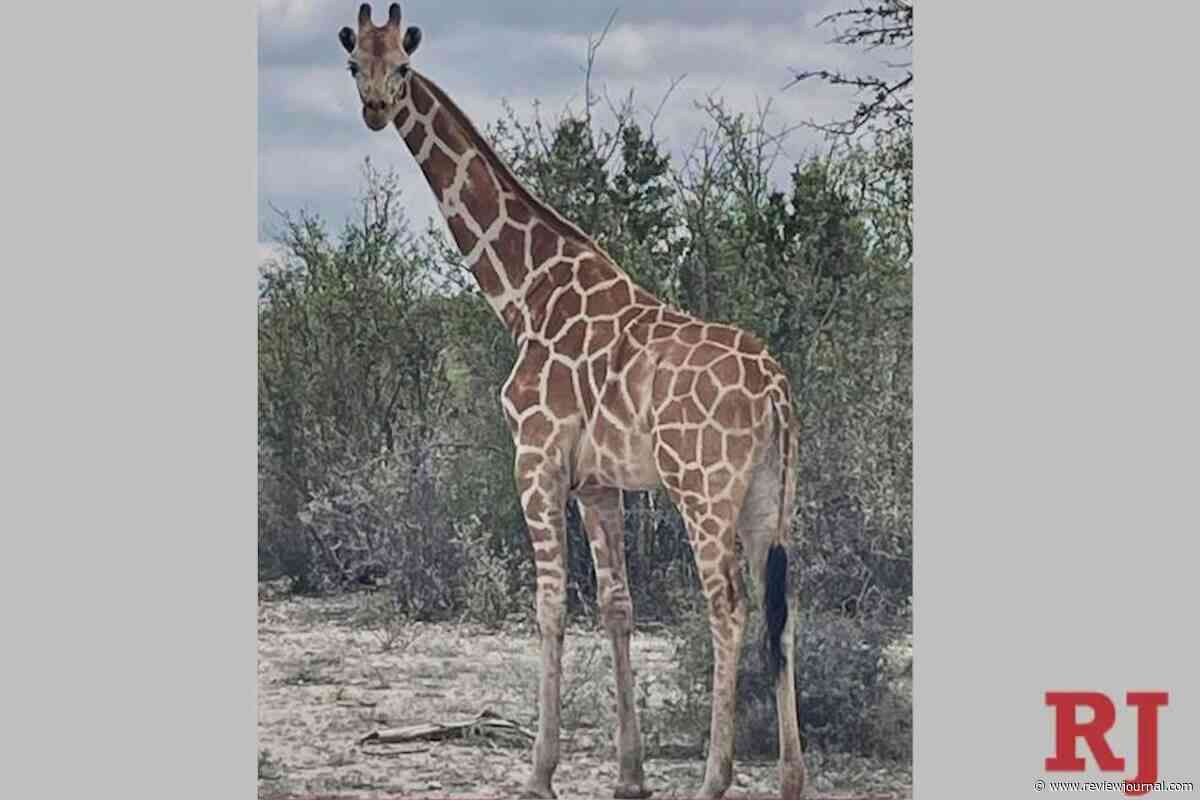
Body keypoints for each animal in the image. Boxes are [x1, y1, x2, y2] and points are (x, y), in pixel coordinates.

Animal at [337, 6, 806, 799]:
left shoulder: (536, 457)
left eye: (401, 63)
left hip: (703, 489)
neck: (524, 294)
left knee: (729, 606)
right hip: (771, 496)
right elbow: (618, 607)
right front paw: (629, 777)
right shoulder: (598, 482)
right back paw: (792, 779)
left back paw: (714, 779)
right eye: (353, 63)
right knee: (783, 608)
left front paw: (539, 773)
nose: (373, 108)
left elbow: (550, 604)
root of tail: (776, 389)